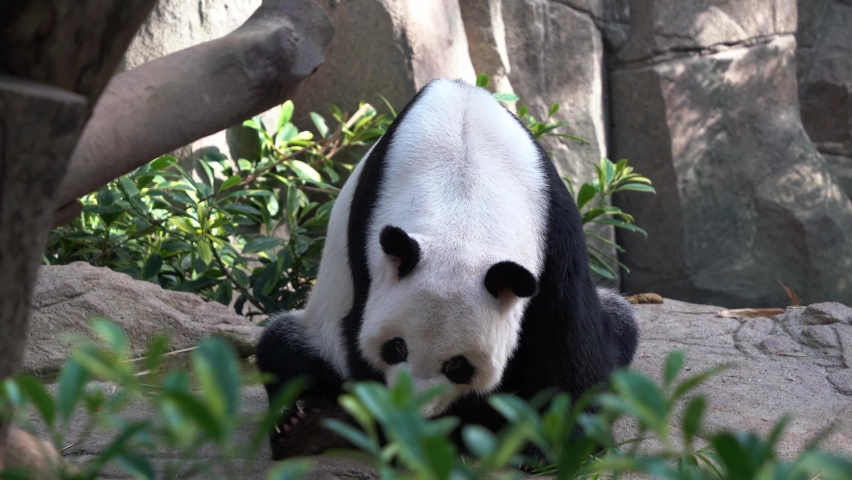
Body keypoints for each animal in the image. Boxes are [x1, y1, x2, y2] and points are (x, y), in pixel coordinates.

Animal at [255, 78, 638, 460]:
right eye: (397, 348)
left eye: (457, 365)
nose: (413, 410)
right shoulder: (367, 243)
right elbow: (356, 339)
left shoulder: (554, 230)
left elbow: (567, 334)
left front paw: (550, 442)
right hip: (318, 331)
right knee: (284, 351)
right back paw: (310, 427)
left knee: (622, 327)